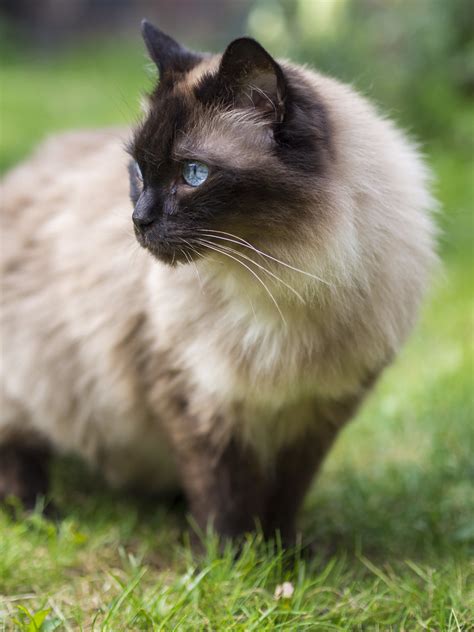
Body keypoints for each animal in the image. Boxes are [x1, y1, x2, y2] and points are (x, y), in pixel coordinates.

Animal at [0, 22, 436, 540]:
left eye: (194, 174)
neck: (279, 281)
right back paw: (40, 513)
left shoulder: (311, 415)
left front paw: (283, 552)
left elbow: (285, 497)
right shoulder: (202, 401)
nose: (138, 220)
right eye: (138, 170)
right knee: (18, 454)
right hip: (28, 386)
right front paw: (227, 555)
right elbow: (222, 497)